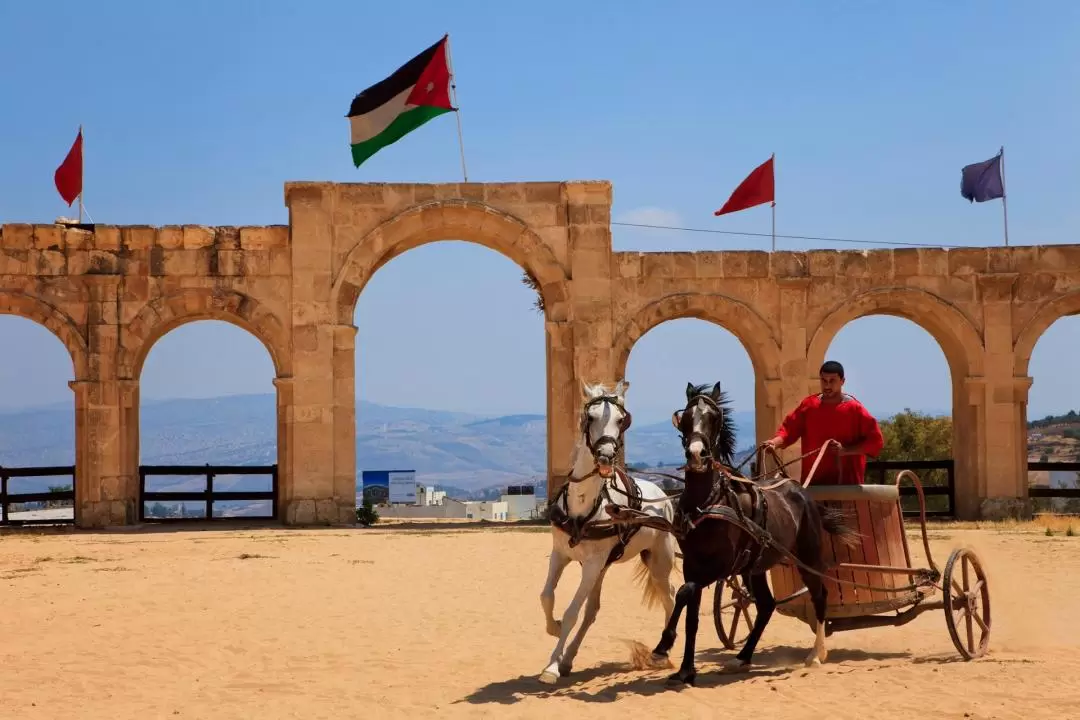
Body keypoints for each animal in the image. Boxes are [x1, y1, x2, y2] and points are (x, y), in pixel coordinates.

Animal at [537, 379, 678, 686]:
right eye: (589, 418)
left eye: (621, 420)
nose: (605, 456)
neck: (583, 506)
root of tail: (662, 496)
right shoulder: (561, 554)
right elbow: (547, 597)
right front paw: (554, 631)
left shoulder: (592, 564)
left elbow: (571, 612)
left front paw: (551, 666)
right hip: (604, 568)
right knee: (592, 611)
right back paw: (569, 658)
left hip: (658, 562)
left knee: (670, 596)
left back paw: (664, 653)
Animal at [604, 382, 855, 686]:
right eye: (685, 417)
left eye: (714, 418)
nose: (696, 455)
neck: (708, 502)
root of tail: (800, 490)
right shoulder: (693, 564)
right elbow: (691, 615)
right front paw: (685, 670)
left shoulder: (720, 566)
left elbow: (684, 593)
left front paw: (662, 648)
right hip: (753, 568)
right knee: (766, 605)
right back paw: (742, 658)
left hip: (807, 556)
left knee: (819, 594)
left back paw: (816, 654)